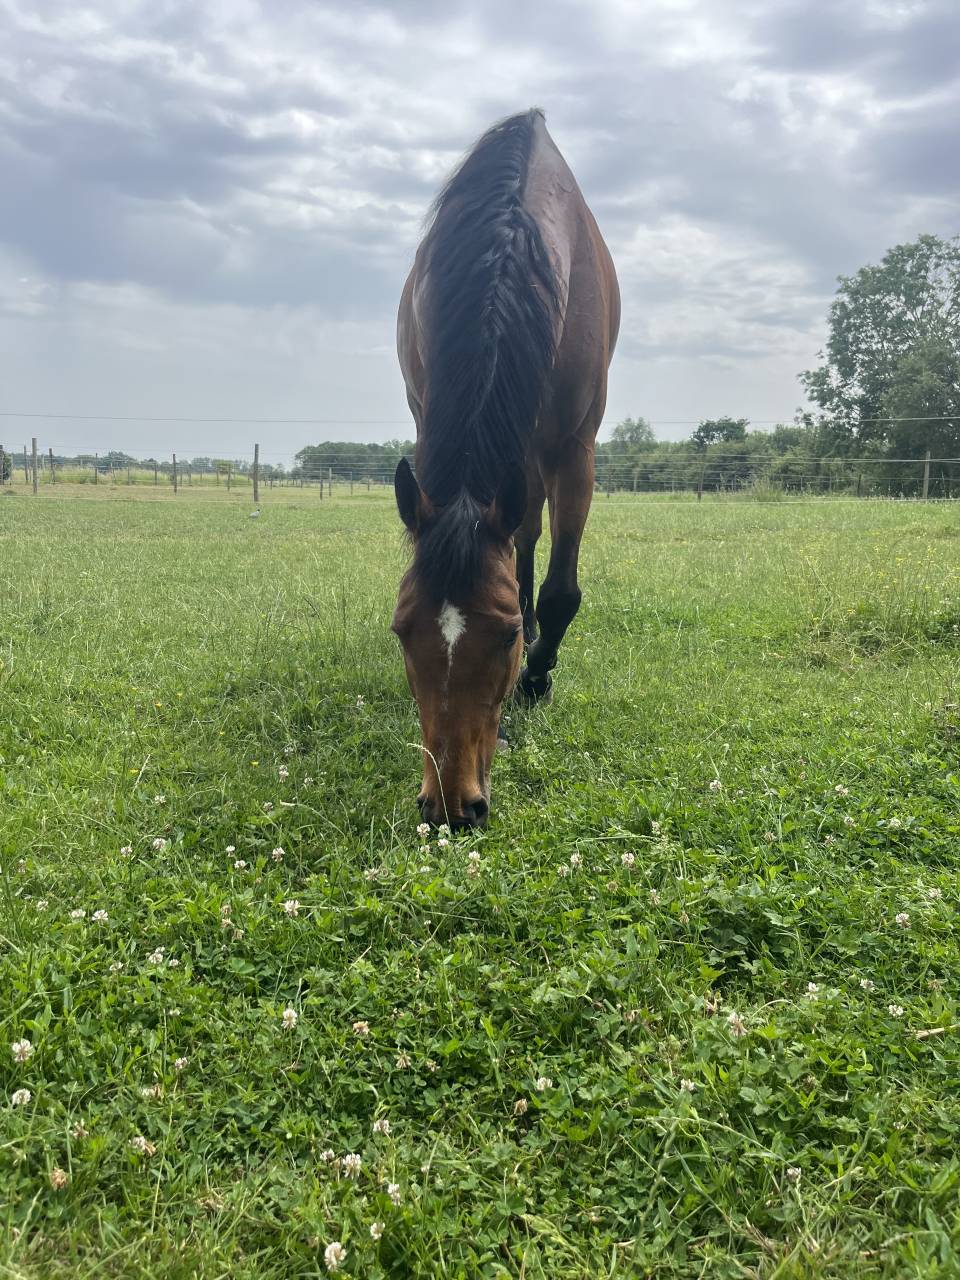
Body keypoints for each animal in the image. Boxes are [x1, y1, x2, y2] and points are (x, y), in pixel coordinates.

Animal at [393, 108, 620, 830]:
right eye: (401, 631)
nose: (449, 806)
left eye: (507, 638)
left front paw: (538, 676)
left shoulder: (576, 445)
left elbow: (560, 589)